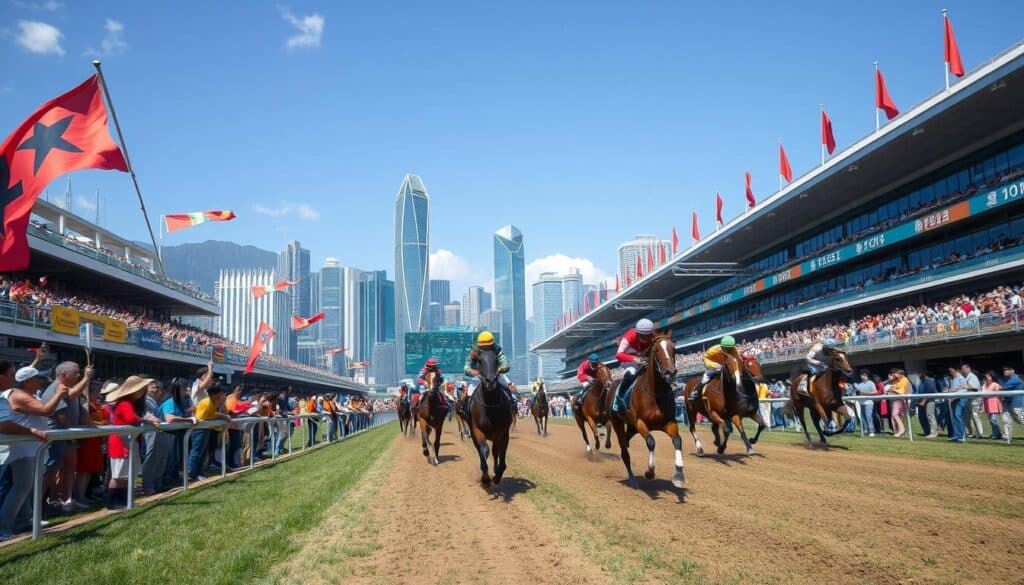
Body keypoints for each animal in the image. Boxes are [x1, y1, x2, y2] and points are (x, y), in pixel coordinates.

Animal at [468, 348, 516, 485]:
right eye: (479, 360)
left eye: (496, 360)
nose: (490, 381)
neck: (490, 405)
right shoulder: (477, 429)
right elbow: (484, 450)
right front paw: (485, 477)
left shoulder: (503, 432)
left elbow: (500, 456)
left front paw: (497, 476)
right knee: (481, 449)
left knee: (495, 451)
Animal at [610, 333, 684, 489]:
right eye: (655, 350)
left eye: (673, 348)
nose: (670, 372)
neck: (656, 393)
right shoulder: (640, 422)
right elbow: (651, 442)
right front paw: (650, 472)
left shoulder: (669, 422)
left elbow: (677, 440)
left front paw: (679, 476)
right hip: (618, 422)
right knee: (624, 450)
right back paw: (632, 480)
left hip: (631, 427)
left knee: (626, 442)